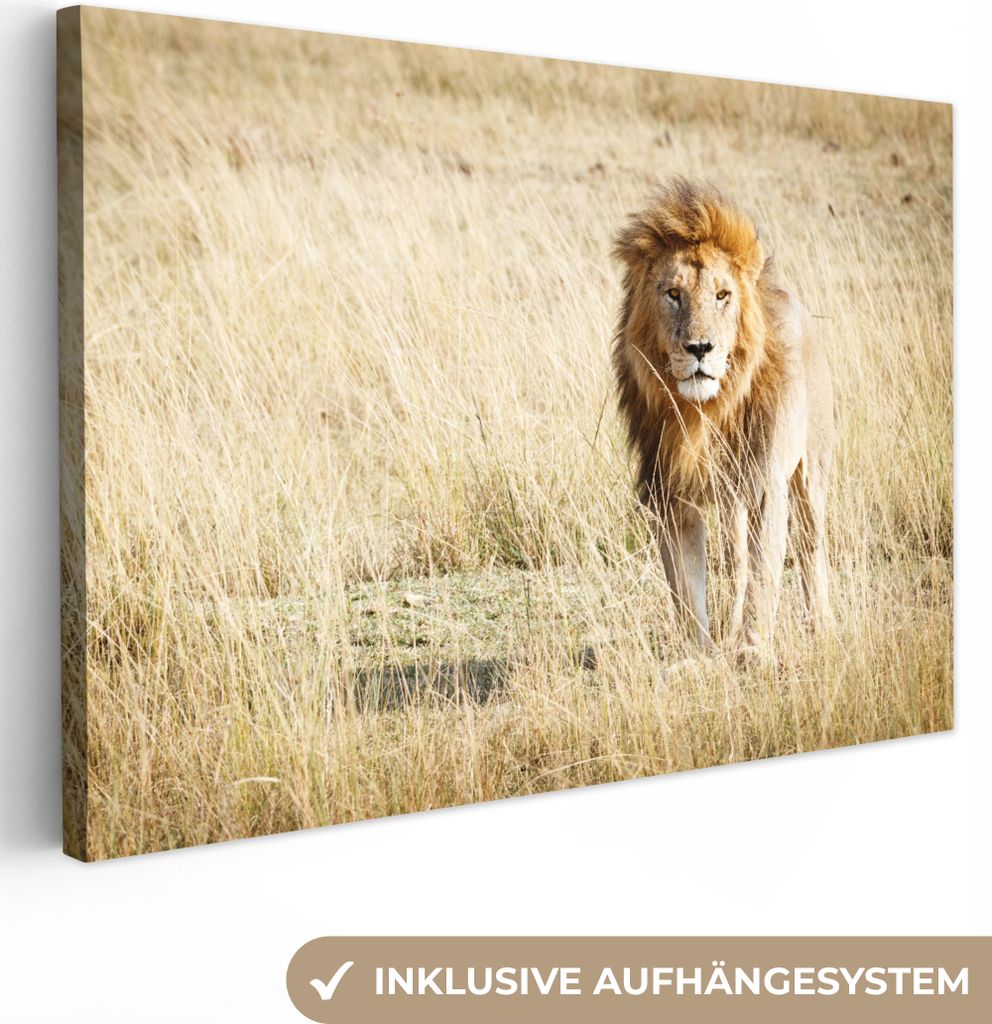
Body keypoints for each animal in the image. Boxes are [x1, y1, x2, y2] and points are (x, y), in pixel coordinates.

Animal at [611, 177, 834, 652]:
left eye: (722, 296)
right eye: (673, 294)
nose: (700, 348)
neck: (704, 411)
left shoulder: (767, 486)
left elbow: (764, 579)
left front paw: (752, 650)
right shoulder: (669, 495)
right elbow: (686, 589)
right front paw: (698, 654)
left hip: (812, 472)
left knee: (810, 549)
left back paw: (822, 626)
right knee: (736, 558)